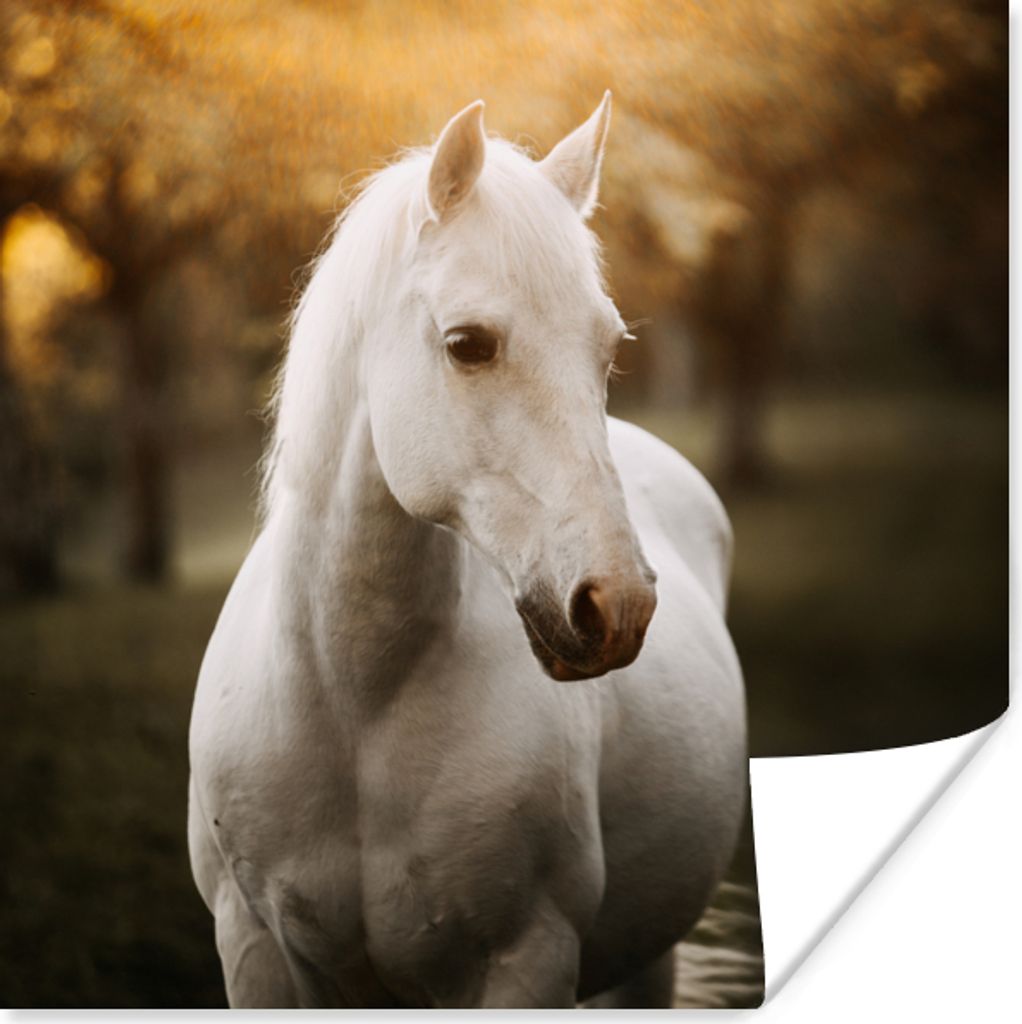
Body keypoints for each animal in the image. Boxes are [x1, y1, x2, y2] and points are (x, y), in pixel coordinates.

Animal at [187, 93, 747, 1009]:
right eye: (469, 344)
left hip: (646, 962)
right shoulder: (256, 948)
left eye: (608, 349)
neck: (355, 703)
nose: (618, 604)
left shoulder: (529, 958)